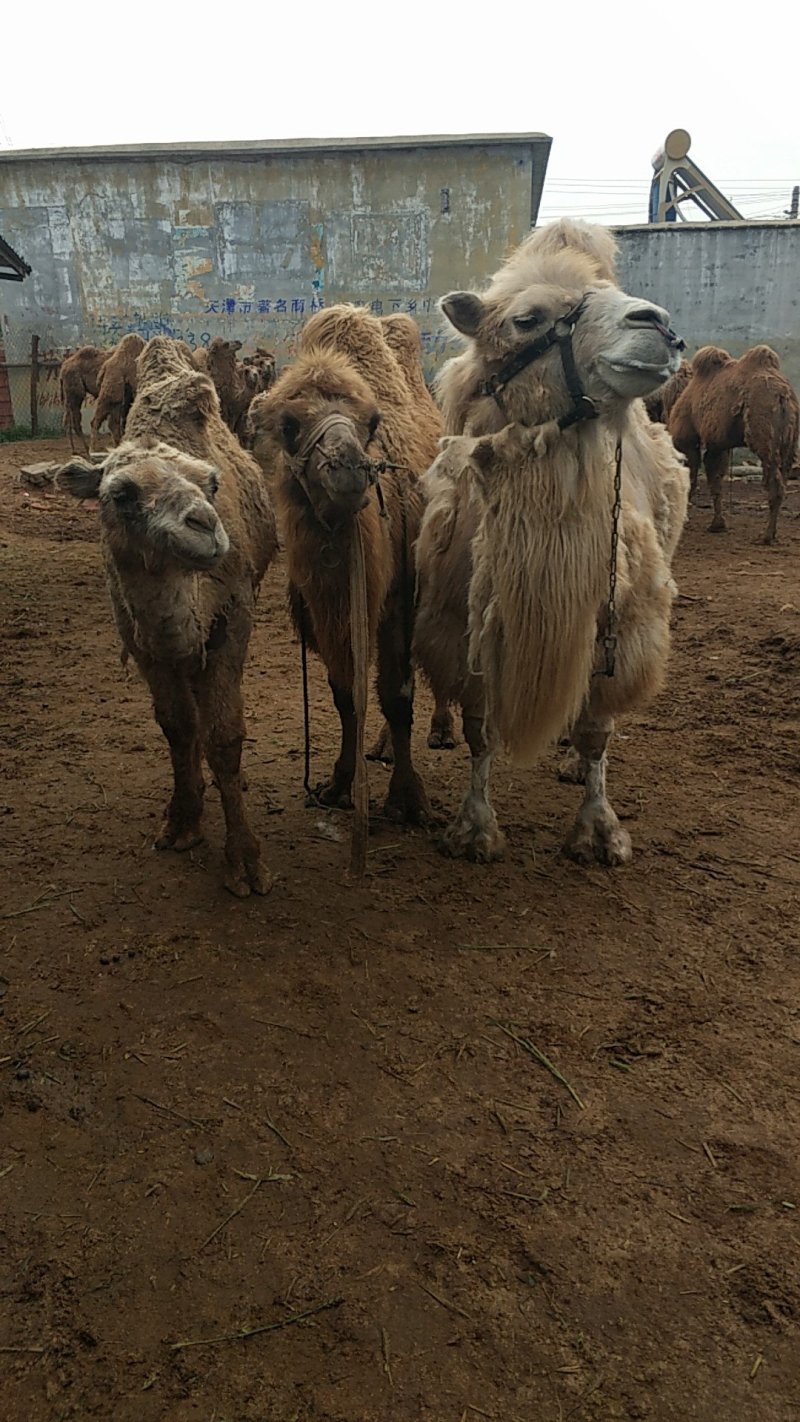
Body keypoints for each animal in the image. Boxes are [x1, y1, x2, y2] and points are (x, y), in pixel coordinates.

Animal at [57, 334, 277, 893]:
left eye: (212, 483)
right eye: (121, 493)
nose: (205, 526)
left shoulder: (232, 623)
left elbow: (225, 733)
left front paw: (246, 861)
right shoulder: (140, 641)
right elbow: (177, 725)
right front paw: (182, 821)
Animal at [251, 305, 434, 830]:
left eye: (371, 422)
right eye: (289, 425)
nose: (349, 467)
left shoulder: (397, 600)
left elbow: (397, 696)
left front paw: (408, 797)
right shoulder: (324, 609)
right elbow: (345, 694)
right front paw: (339, 784)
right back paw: (383, 747)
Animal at [412, 218, 687, 864]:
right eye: (527, 319)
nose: (660, 326)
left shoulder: (619, 631)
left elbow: (597, 729)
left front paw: (599, 828)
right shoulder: (470, 625)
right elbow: (480, 728)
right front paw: (474, 828)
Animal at [667, 344, 795, 543]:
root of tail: (783, 397)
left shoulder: (688, 439)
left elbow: (693, 477)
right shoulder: (718, 444)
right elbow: (715, 478)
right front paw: (718, 524)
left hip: (764, 437)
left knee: (775, 483)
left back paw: (766, 536)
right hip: (790, 442)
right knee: (784, 474)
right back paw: (772, 534)